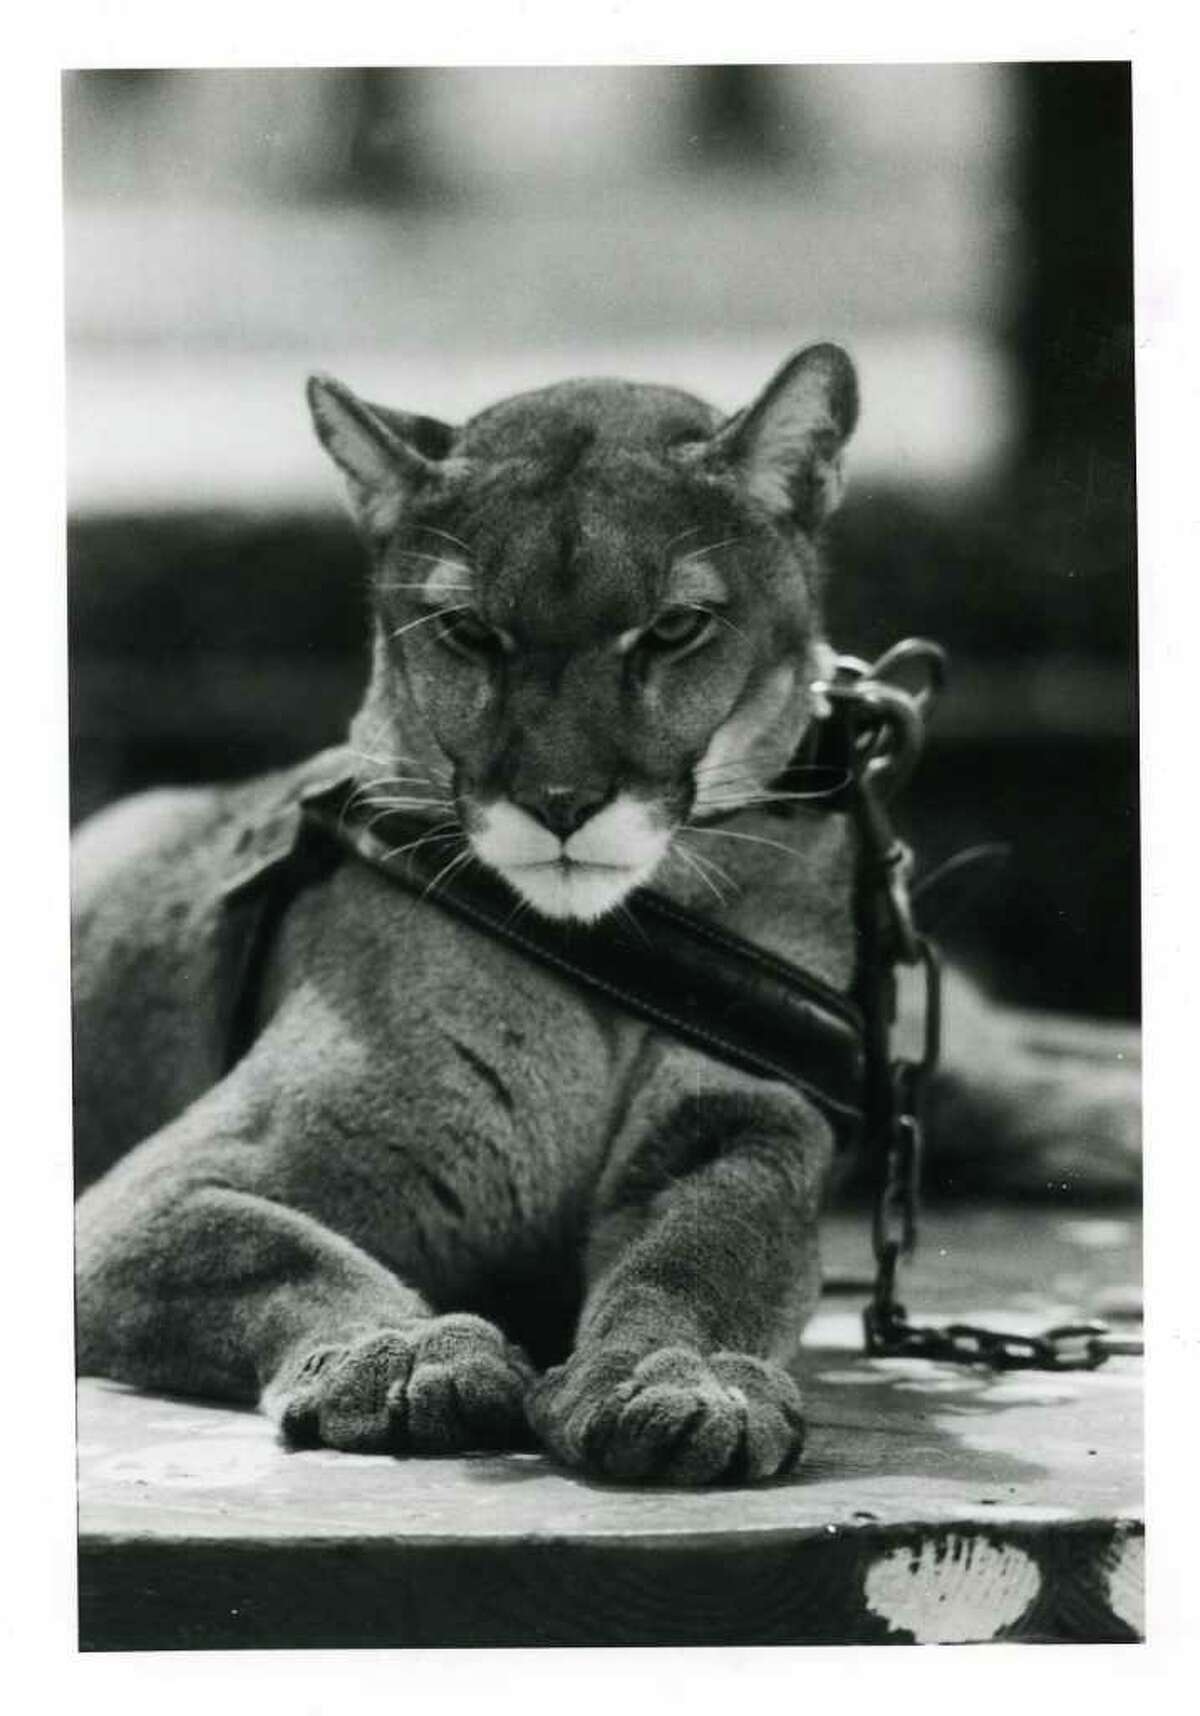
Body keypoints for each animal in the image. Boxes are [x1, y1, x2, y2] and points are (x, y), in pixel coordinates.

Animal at [70, 341, 1139, 1482]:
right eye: (469, 632)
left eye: (672, 630)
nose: (560, 799)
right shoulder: (168, 1189)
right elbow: (280, 1253)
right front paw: (399, 1352)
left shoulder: (740, 1126)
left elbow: (704, 1256)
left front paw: (674, 1375)